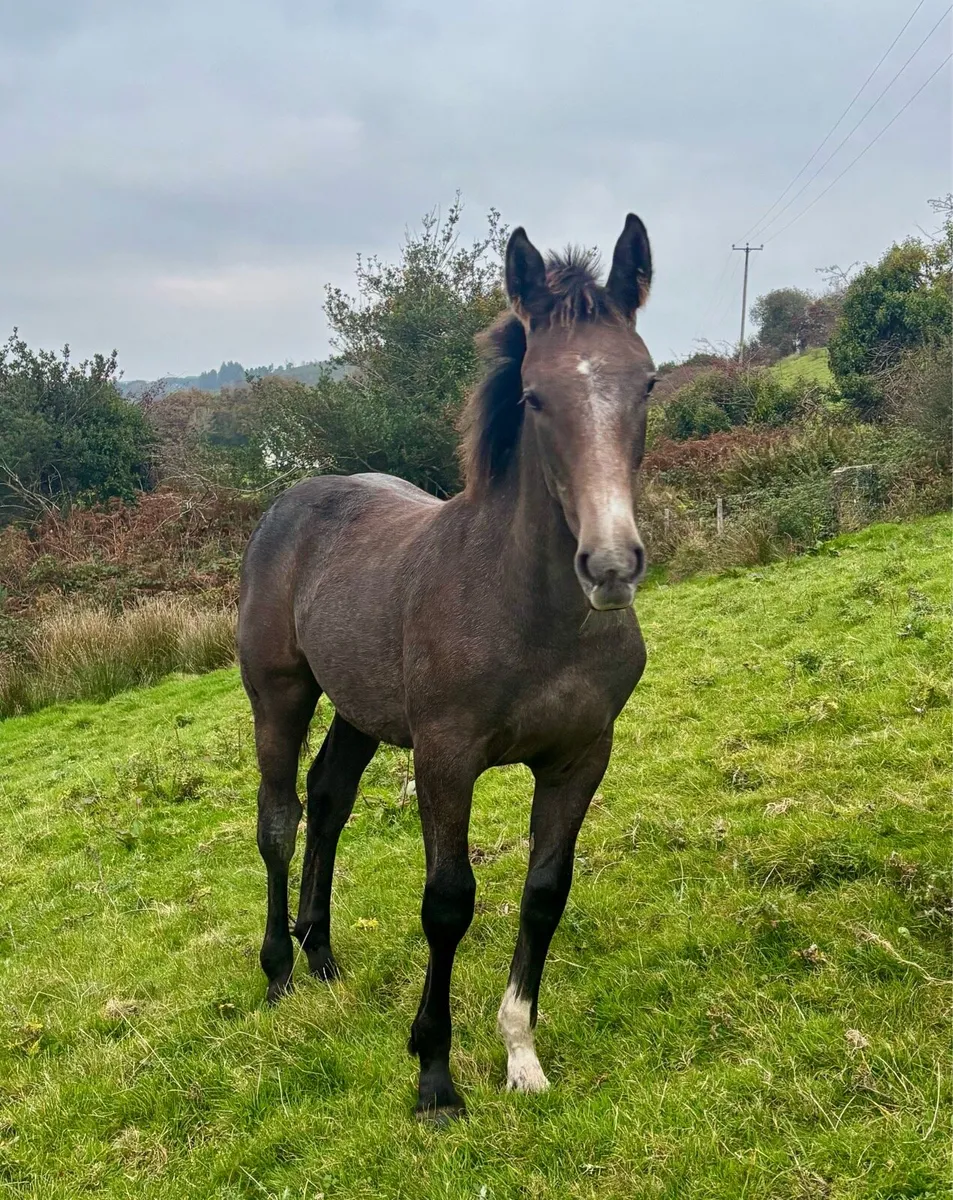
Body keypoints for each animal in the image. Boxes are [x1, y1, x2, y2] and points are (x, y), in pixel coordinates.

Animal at [237, 214, 656, 1121]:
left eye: (645, 381)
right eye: (533, 396)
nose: (610, 565)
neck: (530, 613)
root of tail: (289, 502)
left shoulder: (581, 756)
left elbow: (543, 893)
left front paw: (520, 1055)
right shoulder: (445, 757)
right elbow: (447, 903)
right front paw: (433, 1074)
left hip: (358, 709)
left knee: (329, 800)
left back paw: (320, 954)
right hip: (279, 694)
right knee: (280, 819)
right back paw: (279, 973)